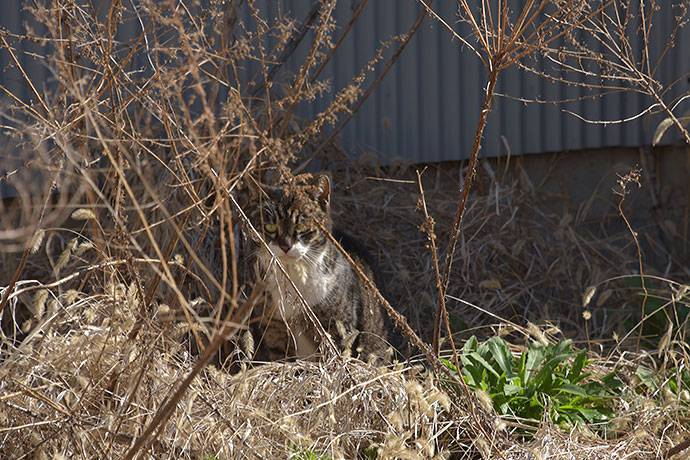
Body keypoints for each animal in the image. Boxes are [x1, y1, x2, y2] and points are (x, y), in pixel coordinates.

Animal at [243, 174, 396, 364]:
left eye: (301, 226)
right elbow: (282, 357)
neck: (292, 276)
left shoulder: (336, 327)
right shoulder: (275, 327)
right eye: (270, 227)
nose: (285, 246)